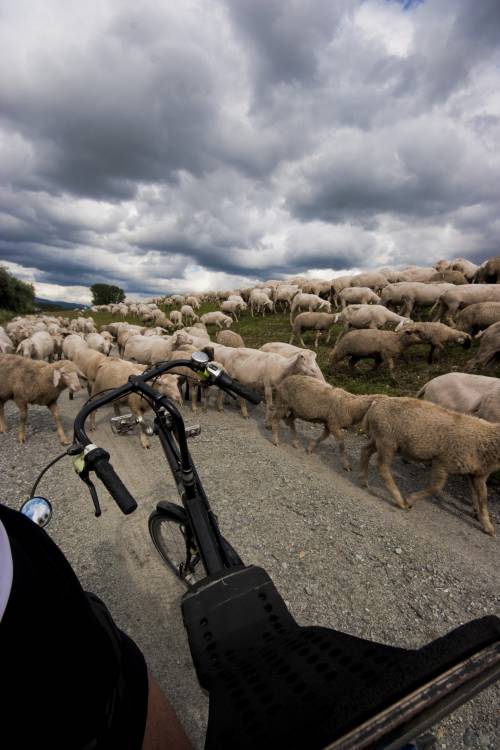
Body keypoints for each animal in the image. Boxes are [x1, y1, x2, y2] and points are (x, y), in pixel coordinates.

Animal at [362, 396, 498, 536]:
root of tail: (378, 402)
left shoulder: (478, 474)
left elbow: (483, 499)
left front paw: (488, 527)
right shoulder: (442, 461)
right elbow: (436, 488)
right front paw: (410, 500)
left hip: (381, 439)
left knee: (365, 451)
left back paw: (363, 480)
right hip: (387, 441)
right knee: (383, 468)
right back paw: (399, 499)